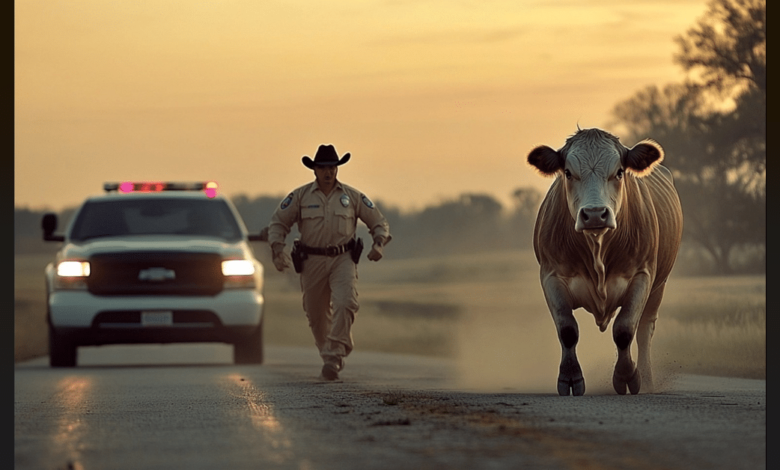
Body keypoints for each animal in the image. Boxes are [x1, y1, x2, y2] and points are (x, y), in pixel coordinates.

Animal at [524, 126, 684, 394]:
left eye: (619, 172)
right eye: (568, 172)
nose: (595, 214)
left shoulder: (643, 275)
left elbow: (625, 329)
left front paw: (627, 377)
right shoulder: (551, 276)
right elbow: (567, 330)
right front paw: (570, 378)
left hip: (659, 286)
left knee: (644, 330)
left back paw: (647, 380)